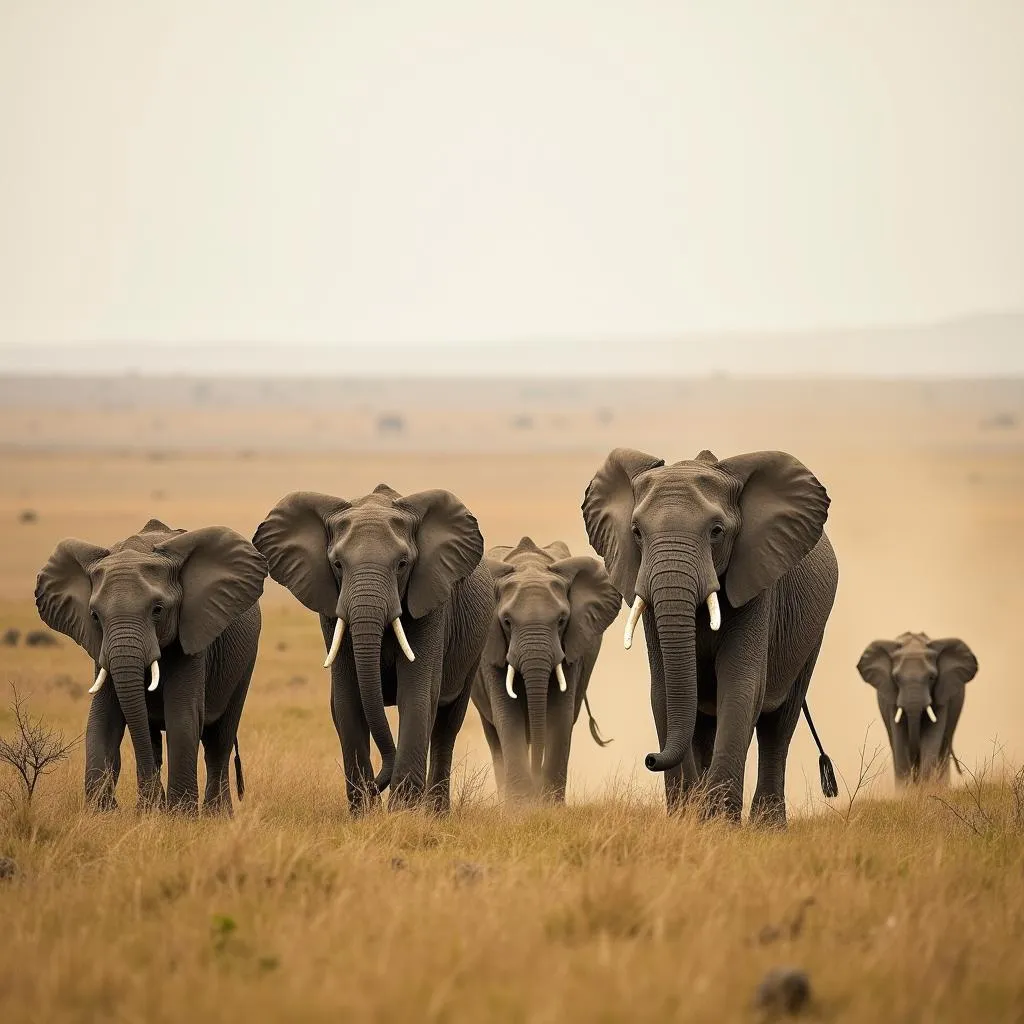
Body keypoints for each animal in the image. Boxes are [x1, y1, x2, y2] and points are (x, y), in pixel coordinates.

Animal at [35, 520, 268, 815]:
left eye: (157, 610)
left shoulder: (192, 634)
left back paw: (217, 815)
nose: (149, 803)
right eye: (95, 616)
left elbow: (182, 715)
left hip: (245, 660)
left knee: (219, 740)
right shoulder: (99, 646)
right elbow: (103, 718)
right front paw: (104, 814)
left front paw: (179, 816)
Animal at [256, 483, 495, 811]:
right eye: (337, 564)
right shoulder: (331, 608)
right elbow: (347, 700)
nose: (376, 789)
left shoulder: (432, 601)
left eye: (403, 564)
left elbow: (417, 695)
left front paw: (401, 814)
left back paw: (436, 814)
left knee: (447, 724)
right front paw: (364, 813)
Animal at [468, 536, 618, 798]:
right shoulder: (490, 648)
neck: (530, 565)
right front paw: (522, 804)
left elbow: (560, 716)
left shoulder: (572, 644)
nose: (536, 784)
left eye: (561, 620)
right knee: (493, 734)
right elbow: (507, 716)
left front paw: (547, 803)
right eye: (506, 621)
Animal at [585, 448, 839, 823]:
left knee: (778, 725)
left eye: (716, 531)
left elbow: (740, 685)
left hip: (812, 636)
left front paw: (721, 824)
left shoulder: (756, 578)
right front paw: (688, 820)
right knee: (706, 724)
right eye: (636, 532)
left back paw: (767, 826)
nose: (650, 758)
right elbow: (663, 692)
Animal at [856, 630, 974, 782]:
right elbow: (899, 739)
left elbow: (931, 737)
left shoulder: (943, 693)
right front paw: (905, 788)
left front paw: (926, 787)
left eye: (931, 678)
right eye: (896, 678)